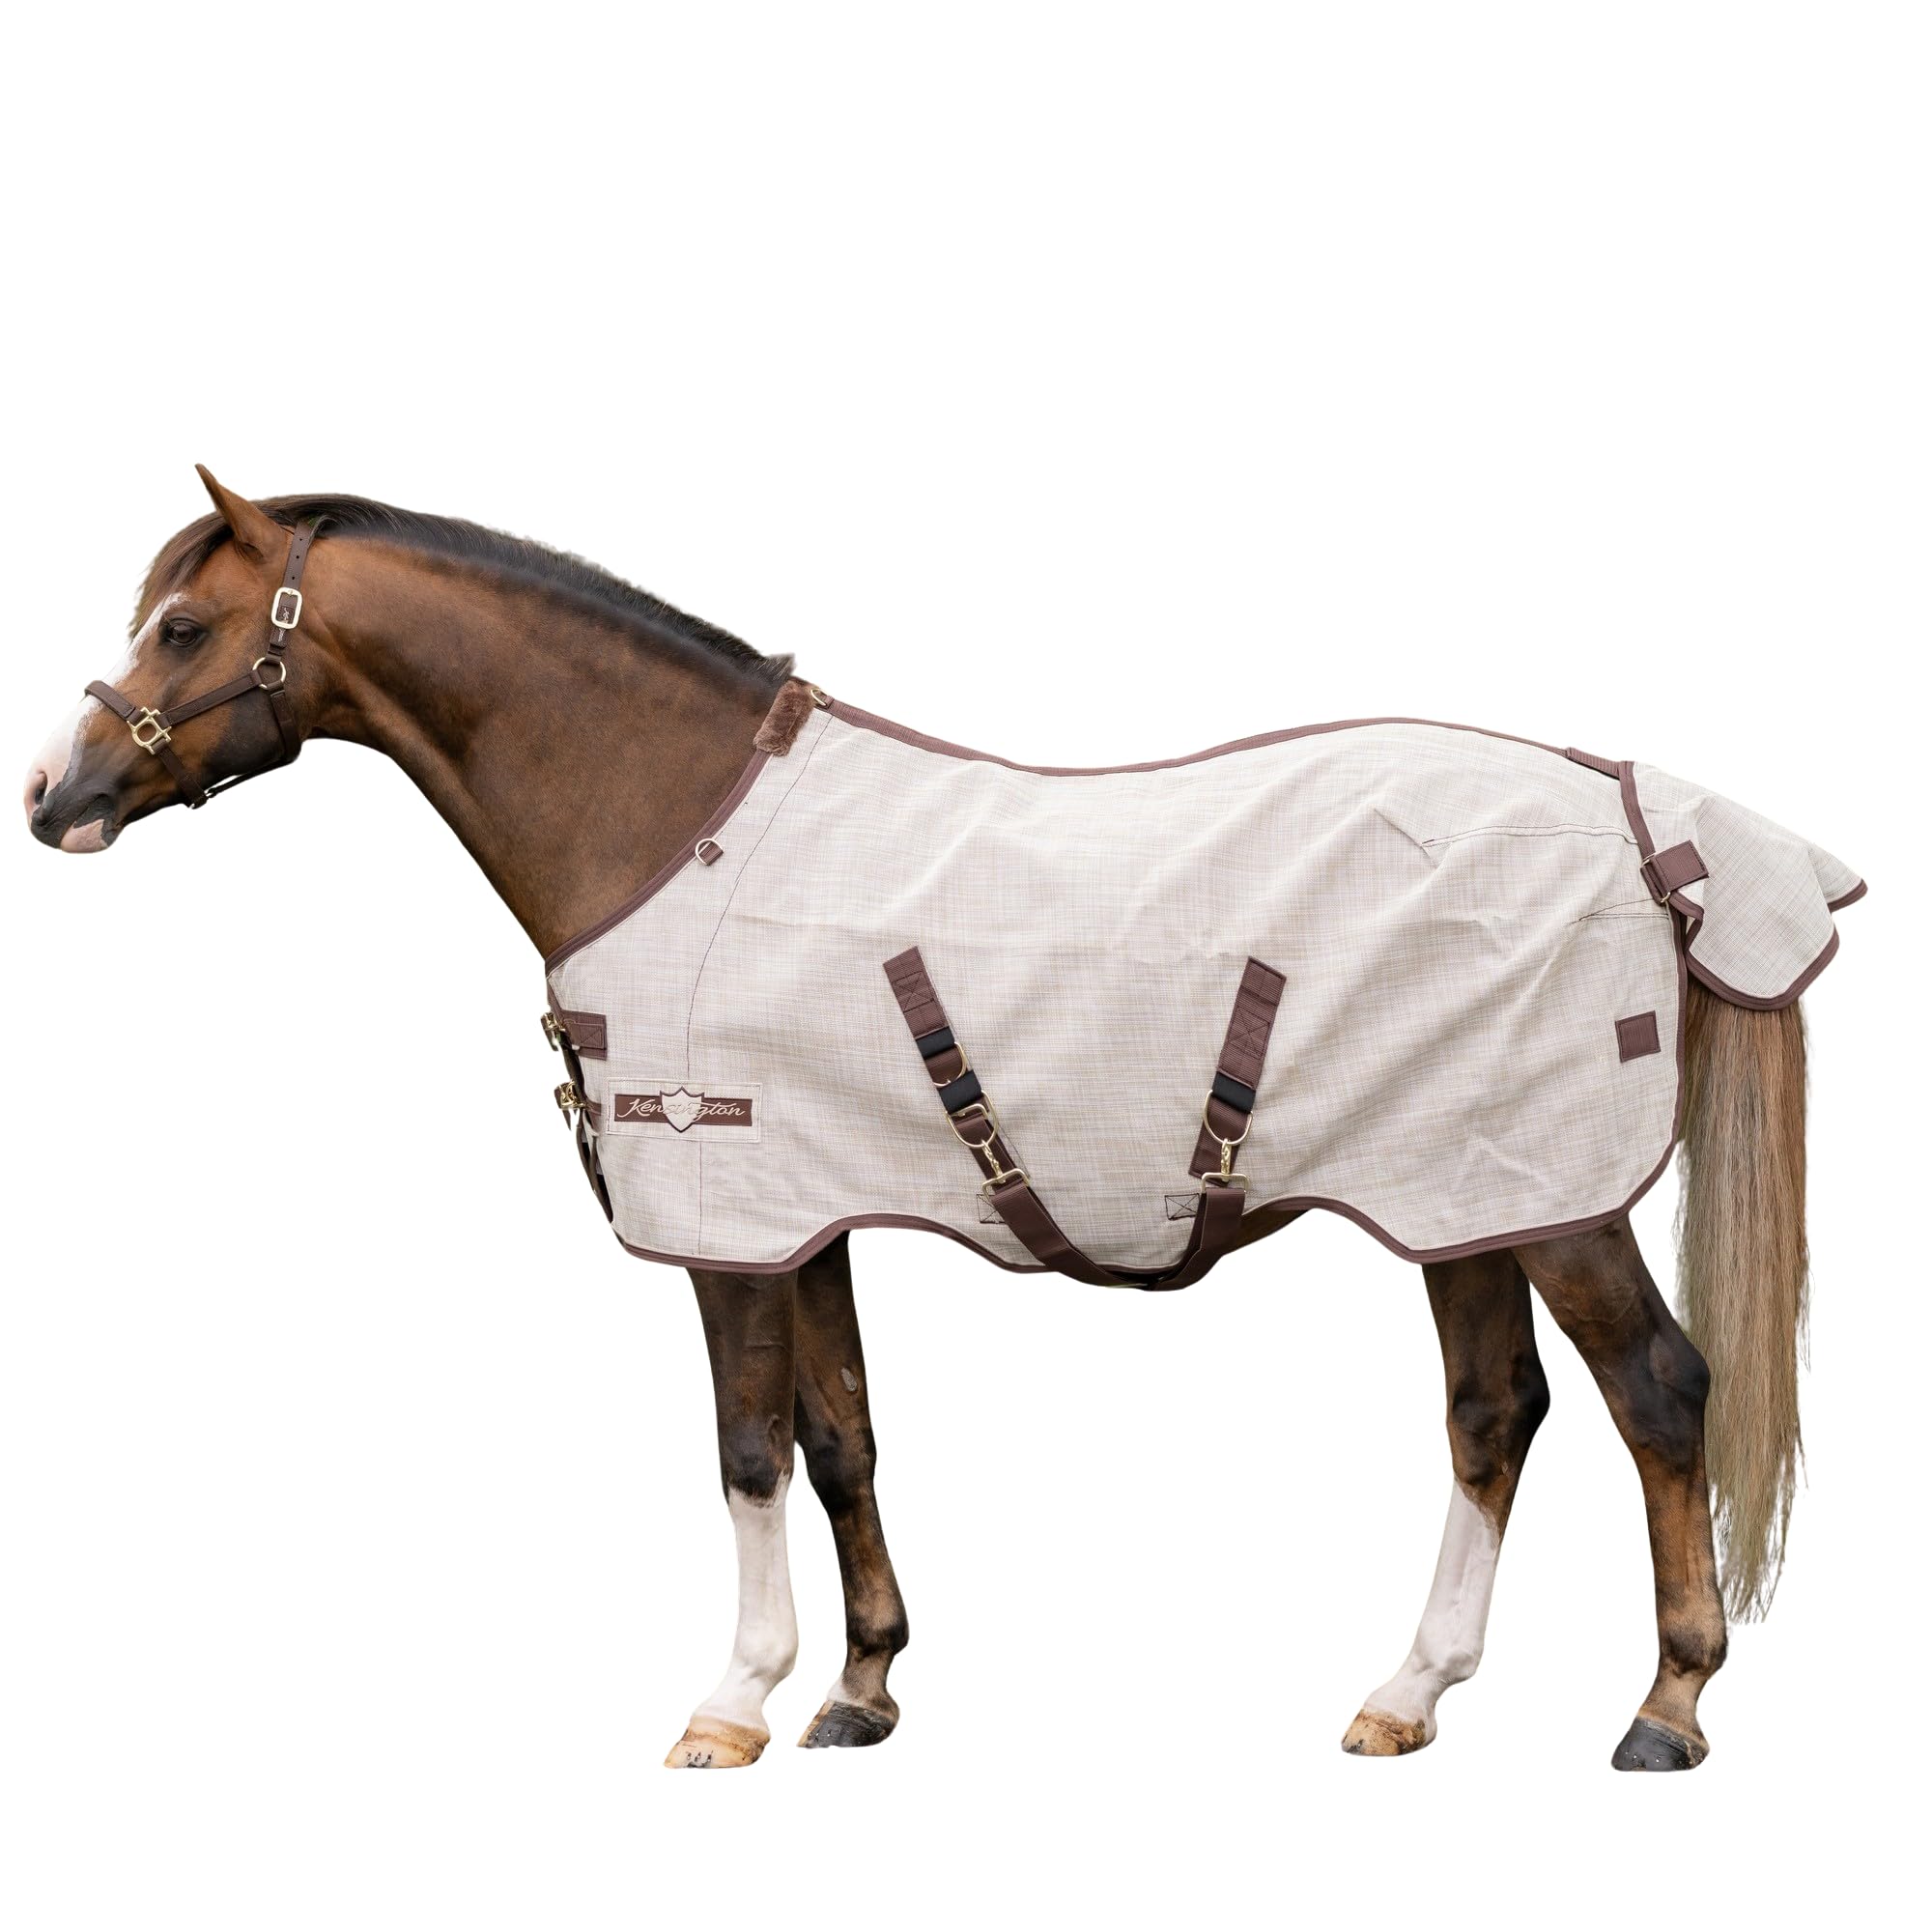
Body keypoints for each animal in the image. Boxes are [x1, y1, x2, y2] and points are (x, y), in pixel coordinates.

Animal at [25, 468, 1858, 1773]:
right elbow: (842, 1439)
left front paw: (733, 1703)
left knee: (1658, 1396)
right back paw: (1409, 1693)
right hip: (1464, 1193)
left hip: (1558, 1202)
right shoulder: (807, 1214)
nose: (54, 800)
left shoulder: (728, 1227)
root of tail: (1637, 808)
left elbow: (746, 1448)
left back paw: (1667, 1712)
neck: (669, 819)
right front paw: (859, 1694)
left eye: (183, 627)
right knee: (1495, 1415)